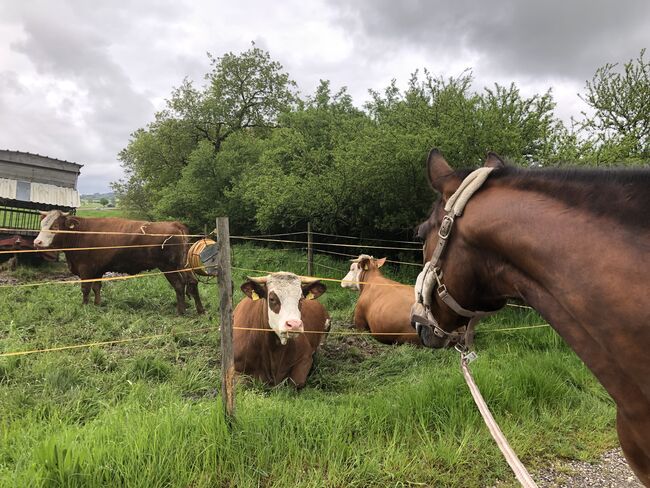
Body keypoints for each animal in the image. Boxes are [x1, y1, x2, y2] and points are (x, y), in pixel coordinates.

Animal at [33, 208, 204, 314]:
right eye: (42, 225)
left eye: (55, 226)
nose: (37, 242)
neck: (79, 233)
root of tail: (175, 224)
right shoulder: (97, 269)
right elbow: (96, 287)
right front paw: (97, 304)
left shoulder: (85, 268)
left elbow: (85, 289)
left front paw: (84, 307)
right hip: (182, 264)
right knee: (192, 282)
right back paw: (200, 310)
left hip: (169, 267)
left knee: (179, 285)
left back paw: (181, 311)